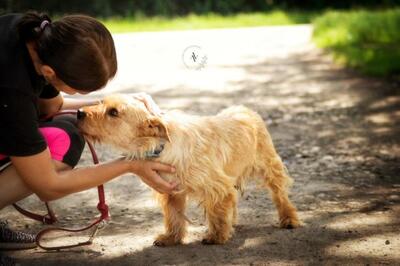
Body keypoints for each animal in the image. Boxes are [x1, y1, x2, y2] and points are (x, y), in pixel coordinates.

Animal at [78, 94, 300, 246]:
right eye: (101, 102)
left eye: (113, 112)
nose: (79, 112)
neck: (161, 145)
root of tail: (245, 109)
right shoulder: (172, 191)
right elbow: (174, 216)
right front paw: (171, 238)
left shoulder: (217, 186)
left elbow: (218, 212)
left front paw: (217, 236)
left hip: (270, 166)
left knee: (280, 193)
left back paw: (289, 218)